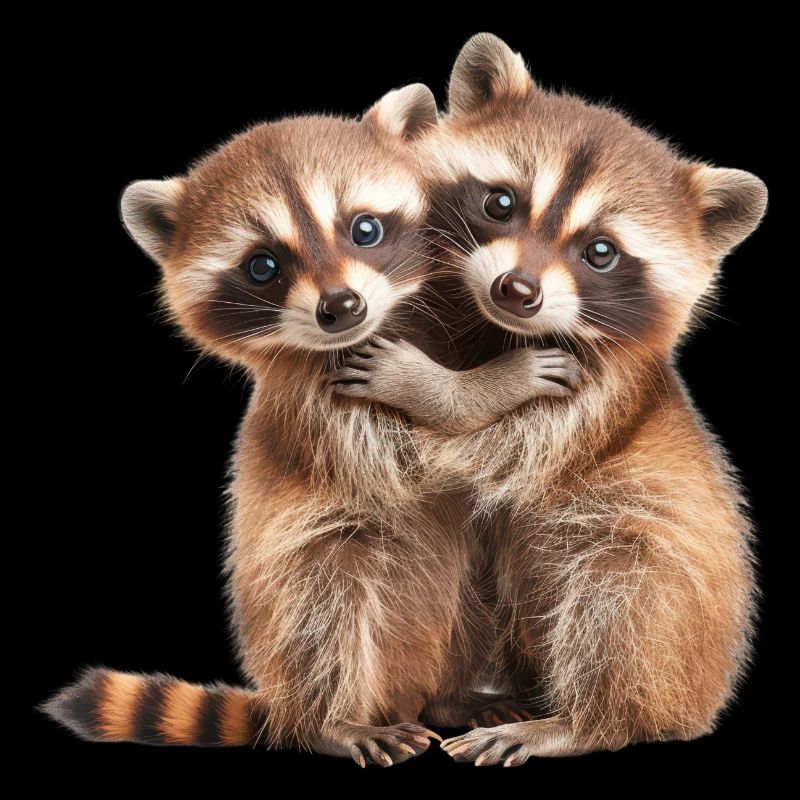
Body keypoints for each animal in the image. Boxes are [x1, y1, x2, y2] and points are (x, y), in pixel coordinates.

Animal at [40, 85, 486, 766]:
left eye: (364, 229)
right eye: (262, 267)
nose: (341, 307)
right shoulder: (314, 400)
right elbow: (411, 455)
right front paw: (480, 386)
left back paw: (454, 699)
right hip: (294, 595)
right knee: (323, 604)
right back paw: (331, 721)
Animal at [335, 35, 767, 765]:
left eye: (600, 252)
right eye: (500, 204)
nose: (517, 290)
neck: (494, 326)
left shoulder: (599, 391)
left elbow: (477, 450)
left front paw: (436, 386)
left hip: (667, 625)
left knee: (614, 590)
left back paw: (580, 722)